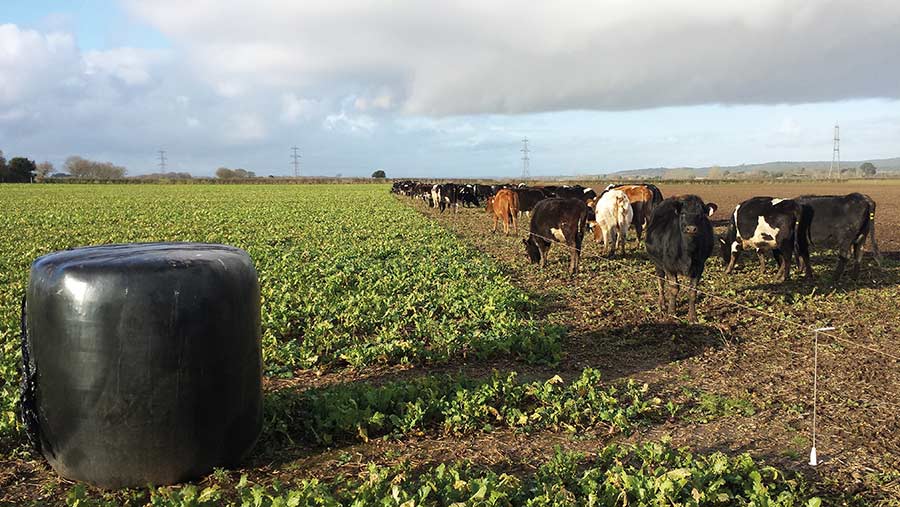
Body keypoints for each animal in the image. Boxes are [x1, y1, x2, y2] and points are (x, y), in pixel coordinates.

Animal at [648, 194, 716, 322]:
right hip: (657, 264)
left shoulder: (699, 266)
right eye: (683, 213)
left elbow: (692, 291)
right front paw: (672, 312)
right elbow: (674, 288)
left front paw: (692, 316)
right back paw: (662, 304)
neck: (687, 251)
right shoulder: (669, 266)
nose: (691, 228)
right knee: (661, 281)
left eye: (700, 215)